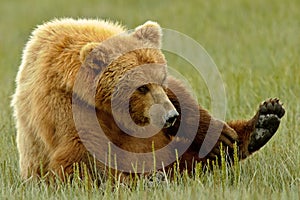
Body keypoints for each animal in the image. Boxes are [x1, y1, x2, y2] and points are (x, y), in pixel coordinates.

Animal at [11, 18, 284, 183]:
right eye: (141, 87)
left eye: (160, 80)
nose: (170, 117)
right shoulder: (63, 110)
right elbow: (82, 156)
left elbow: (183, 99)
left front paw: (219, 133)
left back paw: (263, 121)